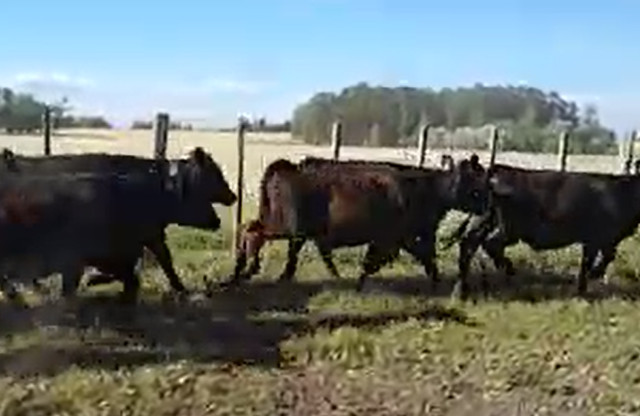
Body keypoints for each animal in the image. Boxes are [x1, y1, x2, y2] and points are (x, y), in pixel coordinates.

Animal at [227, 155, 488, 291]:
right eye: (475, 186)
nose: (488, 205)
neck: (423, 188)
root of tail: (290, 166)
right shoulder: (397, 238)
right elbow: (376, 262)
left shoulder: (402, 238)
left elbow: (424, 259)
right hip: (286, 225)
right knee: (254, 233)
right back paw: (249, 269)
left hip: (285, 224)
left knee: (250, 229)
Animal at [455, 161, 640, 299]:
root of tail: (498, 170)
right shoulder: (600, 237)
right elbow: (603, 258)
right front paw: (592, 276)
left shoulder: (594, 241)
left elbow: (588, 261)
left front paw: (582, 288)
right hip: (510, 228)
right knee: (489, 244)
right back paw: (508, 269)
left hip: (484, 220)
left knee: (468, 245)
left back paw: (461, 290)